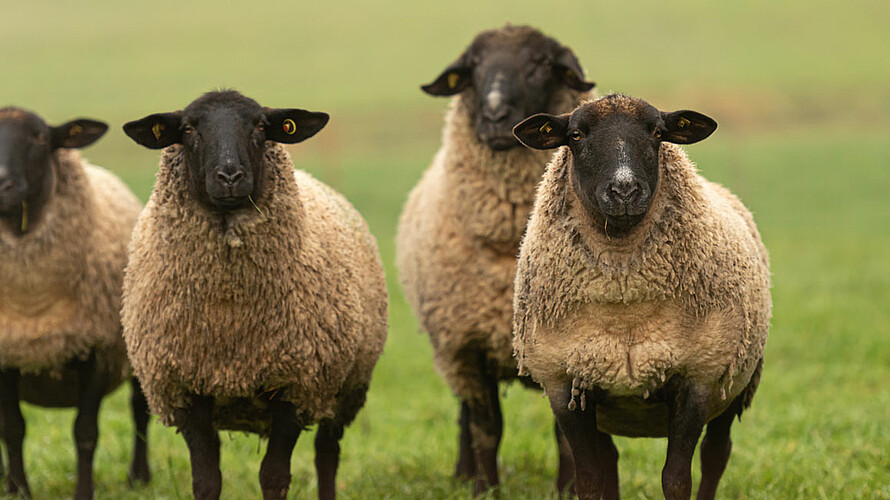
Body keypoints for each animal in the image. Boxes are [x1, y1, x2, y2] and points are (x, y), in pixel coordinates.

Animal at [0, 106, 150, 500]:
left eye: (40, 137)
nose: (0, 184)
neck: (33, 307)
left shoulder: (95, 349)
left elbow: (85, 432)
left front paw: (84, 491)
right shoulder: (8, 352)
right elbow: (13, 429)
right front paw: (18, 490)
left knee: (140, 411)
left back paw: (139, 478)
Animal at [120, 91, 386, 500]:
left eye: (261, 126)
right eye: (188, 128)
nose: (230, 176)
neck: (230, 310)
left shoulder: (295, 384)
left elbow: (274, 477)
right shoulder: (184, 388)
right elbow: (206, 481)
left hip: (344, 386)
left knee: (327, 453)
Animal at [398, 24, 596, 496]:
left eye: (541, 63)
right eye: (472, 68)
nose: (493, 114)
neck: (511, 249)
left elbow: (567, 436)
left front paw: (568, 490)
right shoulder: (465, 347)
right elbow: (487, 428)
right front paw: (484, 489)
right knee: (465, 418)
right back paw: (461, 474)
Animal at [512, 92, 772, 498]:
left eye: (657, 133)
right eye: (575, 135)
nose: (624, 191)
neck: (624, 308)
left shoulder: (697, 379)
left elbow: (677, 480)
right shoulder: (564, 384)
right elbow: (590, 480)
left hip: (736, 382)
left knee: (716, 455)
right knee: (610, 462)